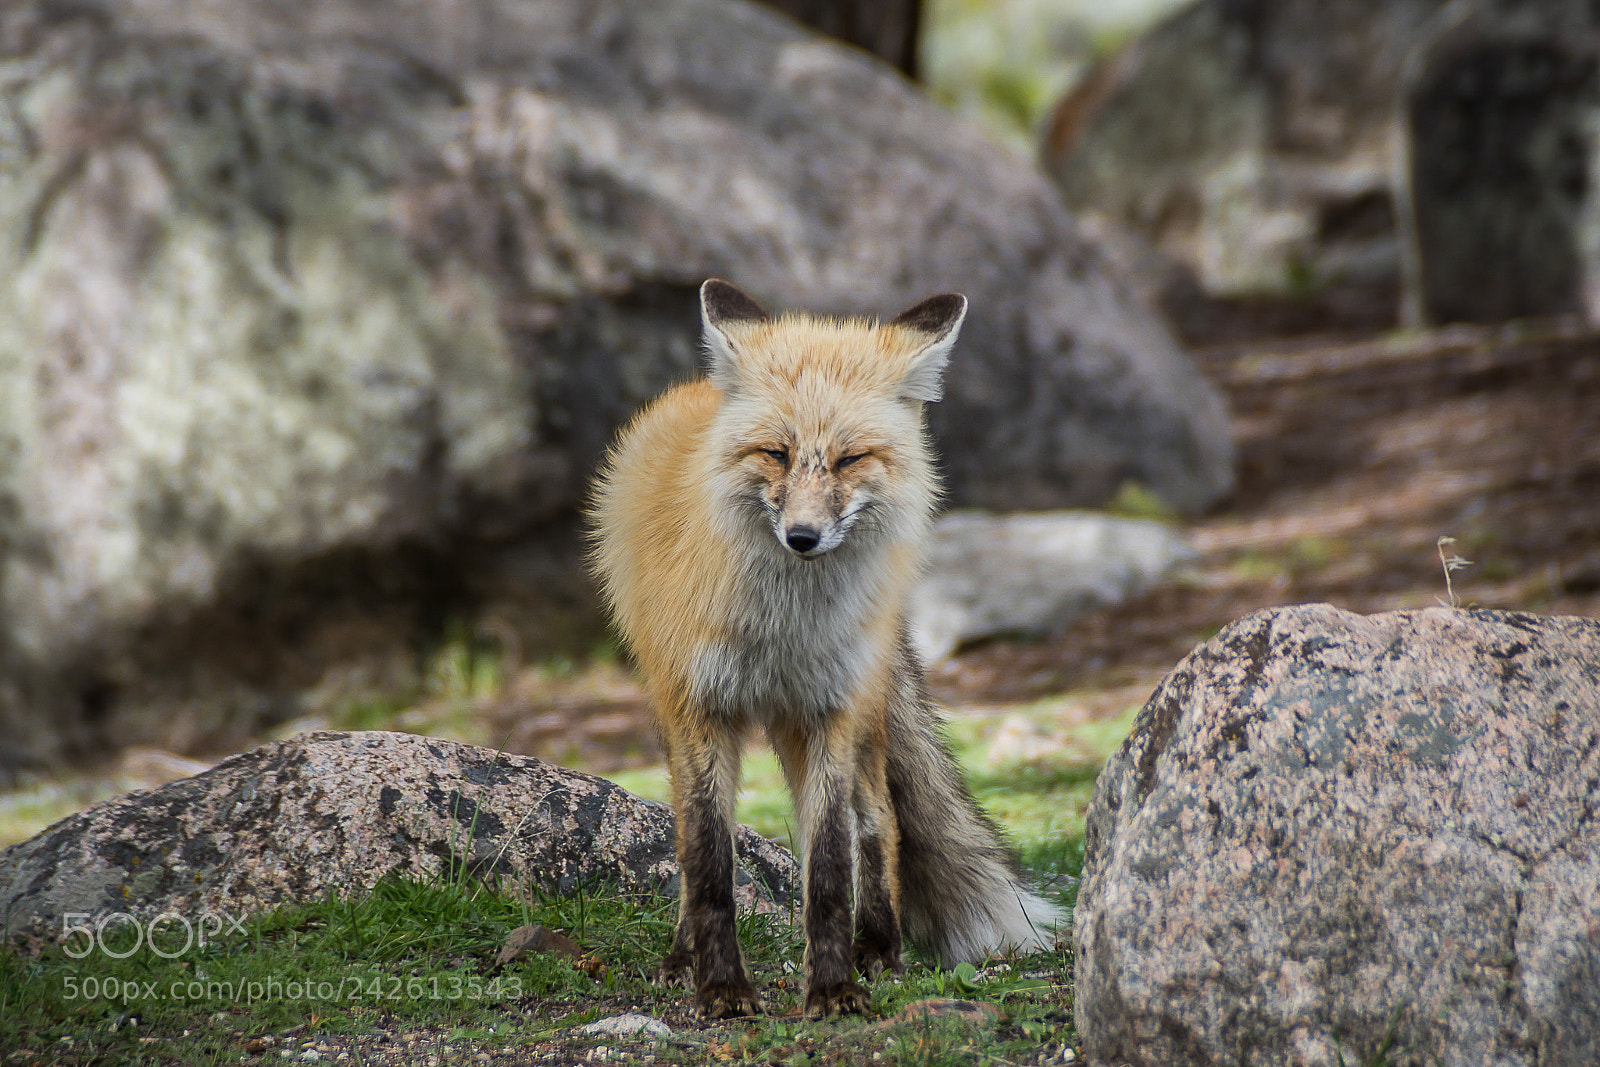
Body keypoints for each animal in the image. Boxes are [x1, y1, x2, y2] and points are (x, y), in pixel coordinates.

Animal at [587, 280, 1060, 1020]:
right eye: (776, 454)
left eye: (849, 459)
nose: (803, 536)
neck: (783, 628)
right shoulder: (701, 708)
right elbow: (708, 858)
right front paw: (721, 987)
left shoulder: (829, 709)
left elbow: (832, 862)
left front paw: (834, 986)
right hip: (685, 716)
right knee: (692, 838)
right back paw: (682, 955)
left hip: (850, 711)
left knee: (881, 819)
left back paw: (879, 948)